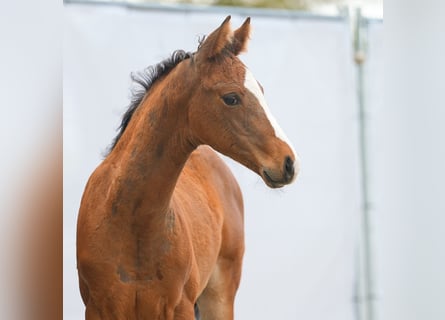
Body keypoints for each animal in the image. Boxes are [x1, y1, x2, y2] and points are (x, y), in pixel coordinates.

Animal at [77, 16, 298, 318]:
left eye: (261, 91)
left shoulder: (179, 306)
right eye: (231, 97)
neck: (133, 222)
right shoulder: (98, 308)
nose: (288, 162)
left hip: (219, 298)